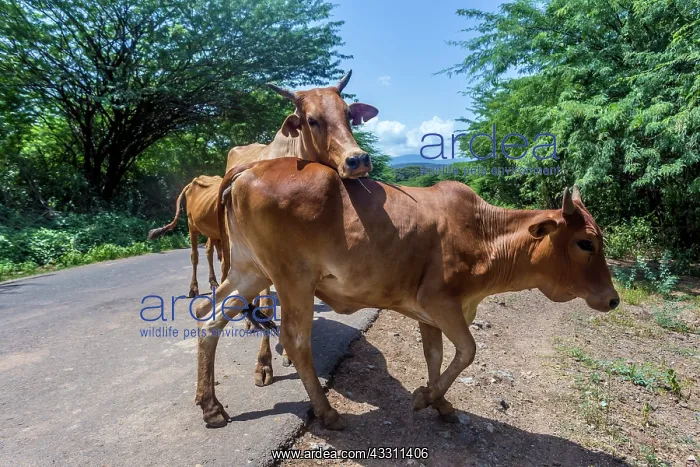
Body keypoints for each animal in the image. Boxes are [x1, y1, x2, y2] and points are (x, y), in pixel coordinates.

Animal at [194, 158, 620, 429]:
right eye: (585, 243)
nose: (613, 299)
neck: (485, 236)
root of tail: (250, 168)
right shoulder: (440, 303)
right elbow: (468, 351)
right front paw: (424, 398)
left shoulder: (429, 315)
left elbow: (437, 357)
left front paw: (440, 402)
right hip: (292, 279)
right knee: (295, 340)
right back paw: (327, 413)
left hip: (249, 270)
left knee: (208, 319)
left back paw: (210, 406)